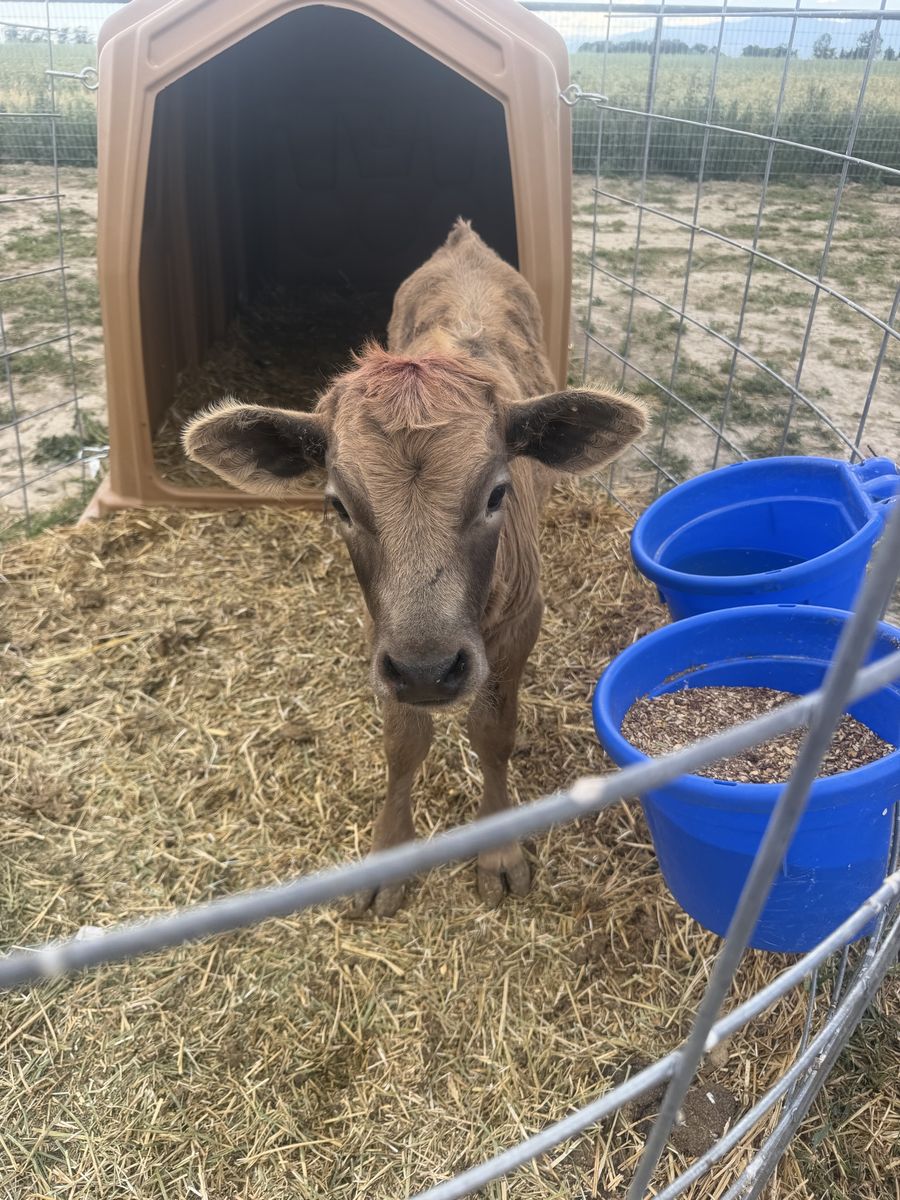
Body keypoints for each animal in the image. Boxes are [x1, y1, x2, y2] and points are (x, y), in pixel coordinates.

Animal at [182, 220, 646, 915]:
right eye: (338, 504)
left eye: (498, 493)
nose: (429, 669)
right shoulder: (384, 635)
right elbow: (403, 743)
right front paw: (389, 856)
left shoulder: (521, 616)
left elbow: (493, 730)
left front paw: (498, 850)